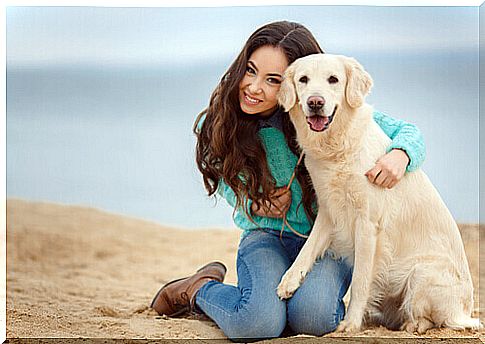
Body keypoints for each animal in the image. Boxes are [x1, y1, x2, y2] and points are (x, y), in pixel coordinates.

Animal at [274, 53, 478, 334]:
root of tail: (465, 310)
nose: (315, 102)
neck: (337, 148)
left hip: (421, 273)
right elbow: (308, 247)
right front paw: (290, 280)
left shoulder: (367, 223)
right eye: (303, 80)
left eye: (333, 79)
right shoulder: (329, 211)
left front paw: (350, 322)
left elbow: (360, 280)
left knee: (437, 319)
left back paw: (413, 324)